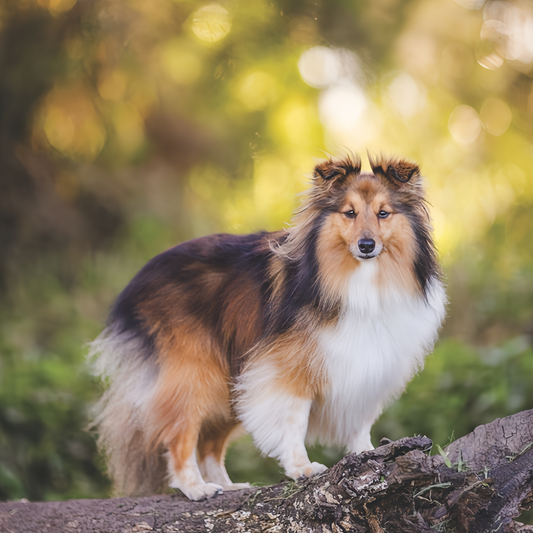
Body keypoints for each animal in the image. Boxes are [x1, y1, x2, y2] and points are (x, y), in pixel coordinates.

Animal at [90, 153, 444, 498]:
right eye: (349, 213)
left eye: (384, 213)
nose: (366, 245)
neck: (361, 281)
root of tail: (138, 279)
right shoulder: (291, 368)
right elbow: (294, 421)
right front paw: (302, 468)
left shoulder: (368, 364)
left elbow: (359, 422)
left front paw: (368, 457)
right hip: (198, 373)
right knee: (180, 432)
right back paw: (195, 487)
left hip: (231, 378)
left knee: (210, 443)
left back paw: (228, 485)